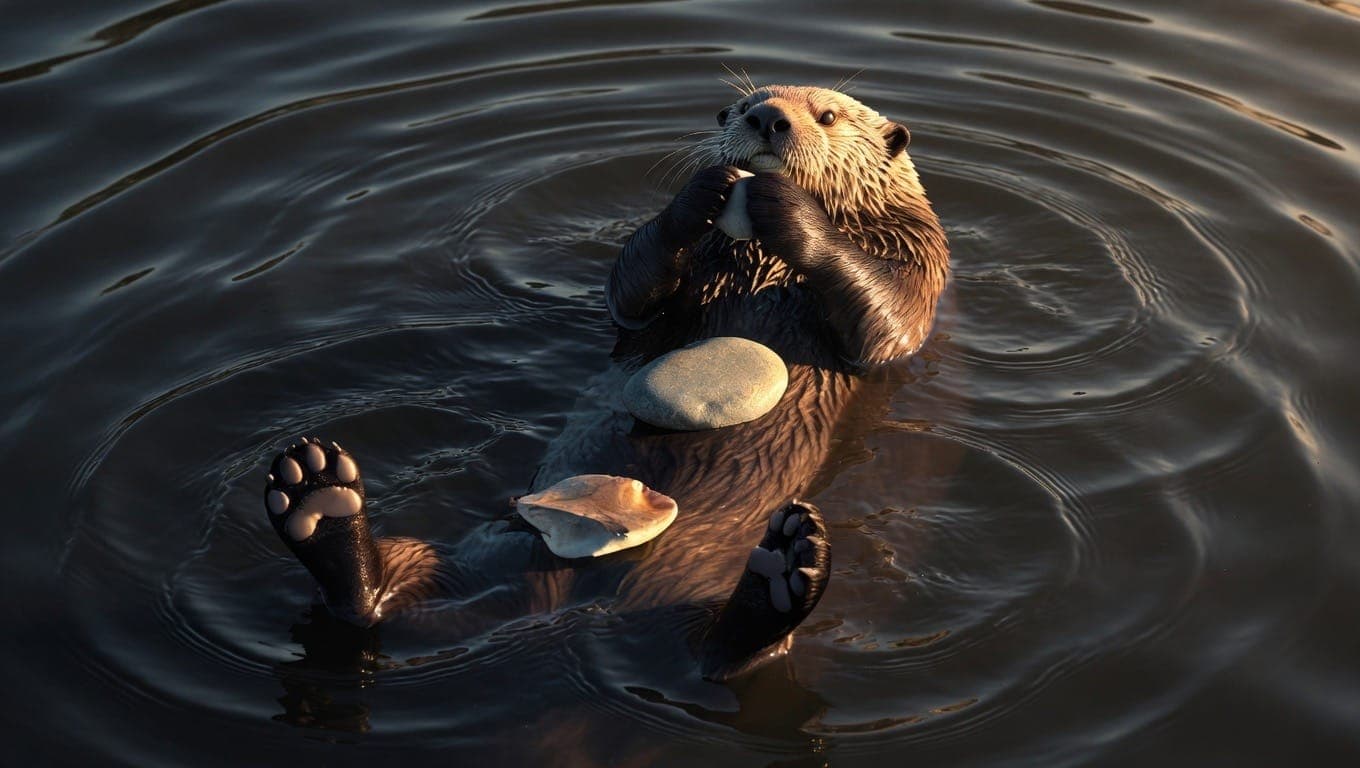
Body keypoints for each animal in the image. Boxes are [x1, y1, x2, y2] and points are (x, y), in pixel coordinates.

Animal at [261, 84, 949, 680]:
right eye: (746, 104)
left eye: (827, 115)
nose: (769, 119)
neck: (763, 265)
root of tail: (574, 592)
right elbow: (631, 287)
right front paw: (703, 193)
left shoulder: (918, 265)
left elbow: (882, 321)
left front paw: (788, 208)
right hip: (489, 550)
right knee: (378, 602)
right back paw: (317, 495)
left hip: (683, 584)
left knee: (712, 657)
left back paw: (784, 570)